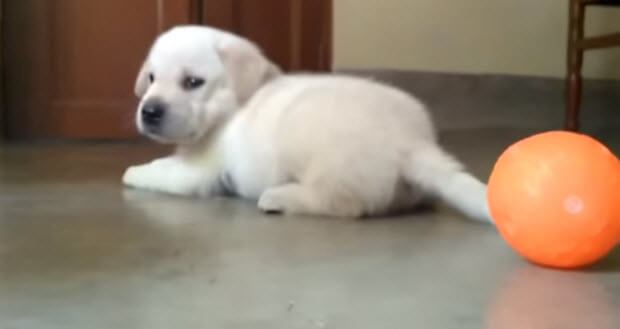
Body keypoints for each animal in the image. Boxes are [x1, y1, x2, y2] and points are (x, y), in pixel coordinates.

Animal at [123, 25, 492, 220]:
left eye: (192, 82)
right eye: (152, 78)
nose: (149, 111)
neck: (228, 111)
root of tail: (411, 142)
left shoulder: (197, 171)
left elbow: (158, 170)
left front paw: (131, 172)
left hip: (305, 139)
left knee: (340, 202)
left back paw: (279, 197)